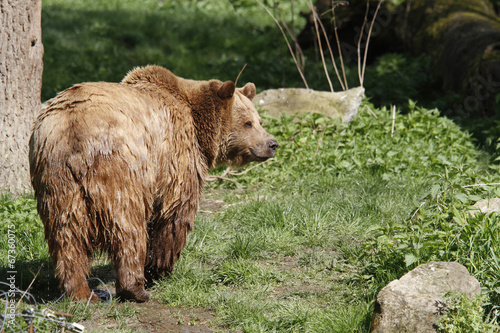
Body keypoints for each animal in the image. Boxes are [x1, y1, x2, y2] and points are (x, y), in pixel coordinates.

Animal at [29, 65, 278, 300]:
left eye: (259, 120)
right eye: (248, 123)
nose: (272, 144)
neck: (199, 127)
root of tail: (73, 128)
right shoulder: (176, 157)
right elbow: (174, 215)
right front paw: (160, 269)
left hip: (56, 179)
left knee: (67, 237)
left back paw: (81, 293)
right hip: (120, 167)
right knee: (127, 225)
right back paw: (134, 289)